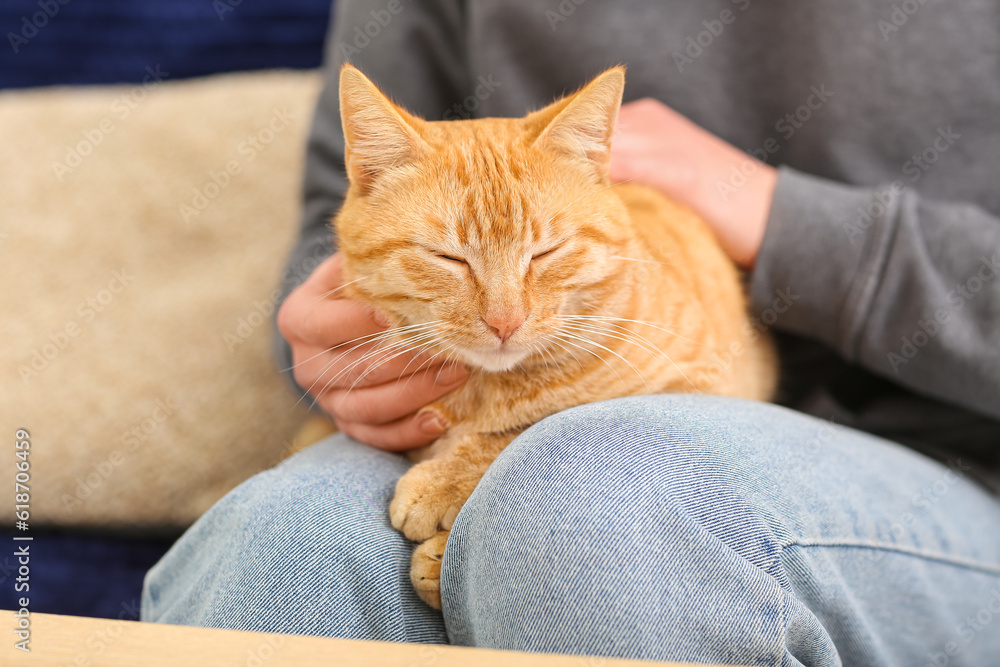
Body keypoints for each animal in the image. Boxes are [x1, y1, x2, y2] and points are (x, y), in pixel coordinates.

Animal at [332, 65, 776, 608]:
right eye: (448, 258)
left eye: (545, 253)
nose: (505, 321)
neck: (486, 389)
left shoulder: (705, 384)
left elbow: (532, 426)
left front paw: (441, 521)